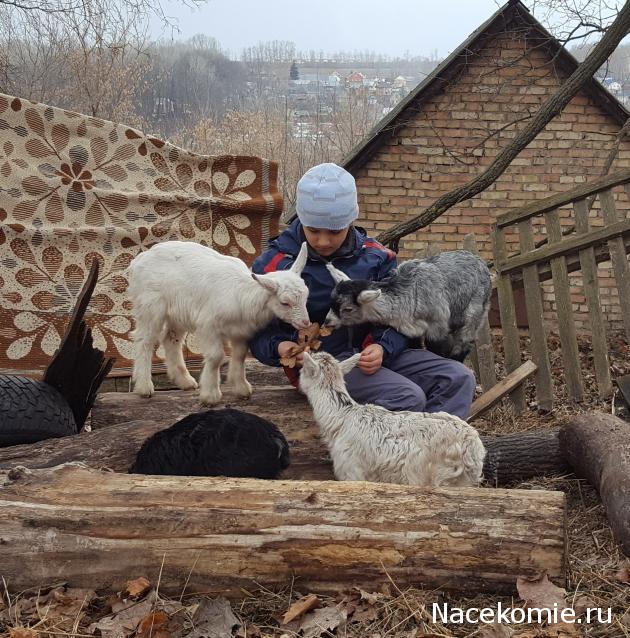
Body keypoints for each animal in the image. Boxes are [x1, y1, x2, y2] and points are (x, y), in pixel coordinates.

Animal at [128, 240, 312, 404]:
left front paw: (241, 388)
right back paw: (144, 387)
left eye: (306, 296)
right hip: (151, 306)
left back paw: (185, 381)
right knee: (144, 341)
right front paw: (210, 395)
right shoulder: (209, 325)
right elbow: (216, 356)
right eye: (285, 302)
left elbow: (239, 355)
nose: (306, 323)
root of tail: (139, 259)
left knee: (171, 339)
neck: (243, 293)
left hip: (178, 313)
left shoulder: (241, 331)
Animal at [298, 352, 486, 488]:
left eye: (301, 370)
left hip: (435, 474)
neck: (342, 418)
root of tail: (473, 447)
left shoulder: (352, 469)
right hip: (461, 480)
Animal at [326, 251, 494, 362]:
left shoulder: (437, 326)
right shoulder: (412, 330)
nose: (327, 321)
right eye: (331, 302)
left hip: (476, 308)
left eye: (347, 309)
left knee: (466, 340)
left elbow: (437, 349)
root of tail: (481, 263)